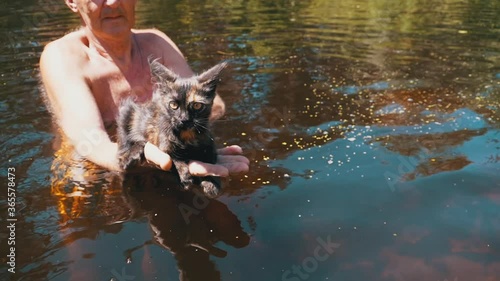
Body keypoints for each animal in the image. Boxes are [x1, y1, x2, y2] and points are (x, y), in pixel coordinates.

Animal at [116, 59, 228, 197]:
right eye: (173, 105)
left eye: (197, 106)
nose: (184, 119)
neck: (186, 134)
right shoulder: (164, 147)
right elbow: (174, 159)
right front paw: (184, 175)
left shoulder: (209, 145)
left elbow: (210, 162)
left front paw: (211, 183)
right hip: (127, 111)